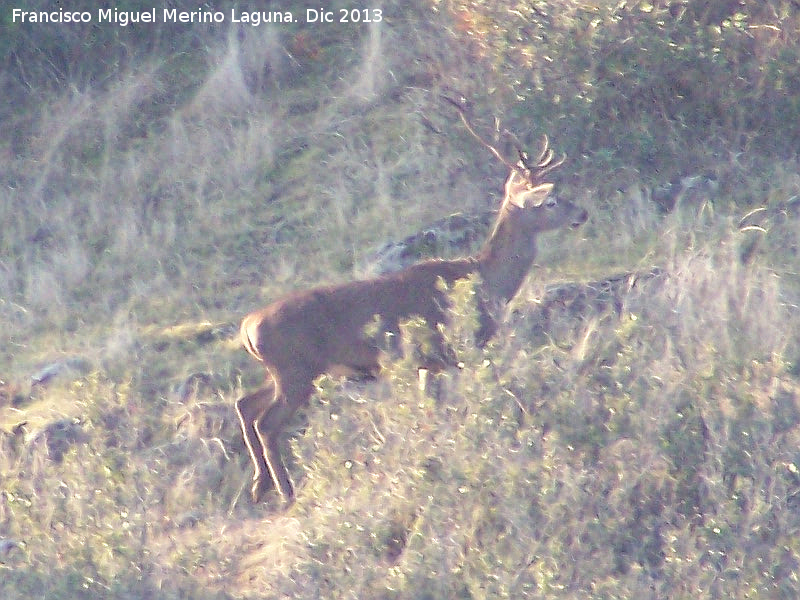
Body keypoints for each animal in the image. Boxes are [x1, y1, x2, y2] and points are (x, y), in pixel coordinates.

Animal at [236, 105, 588, 504]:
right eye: (552, 200)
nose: (583, 214)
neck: (484, 281)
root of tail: (247, 328)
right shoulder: (449, 352)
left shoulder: (425, 364)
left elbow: (429, 410)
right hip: (296, 371)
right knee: (266, 422)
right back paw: (285, 490)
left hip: (283, 371)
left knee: (245, 404)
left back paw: (259, 484)